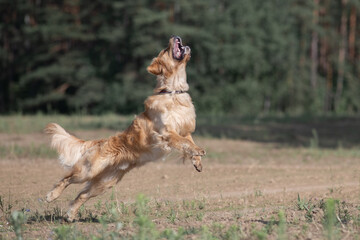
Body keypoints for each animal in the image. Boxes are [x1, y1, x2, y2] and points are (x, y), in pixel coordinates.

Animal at [44, 35, 205, 221]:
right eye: (165, 49)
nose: (175, 37)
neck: (173, 92)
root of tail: (100, 141)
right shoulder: (166, 132)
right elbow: (184, 142)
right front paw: (198, 151)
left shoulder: (185, 129)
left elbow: (188, 142)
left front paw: (197, 161)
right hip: (88, 171)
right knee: (66, 179)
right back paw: (51, 196)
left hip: (106, 182)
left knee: (82, 195)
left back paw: (70, 215)